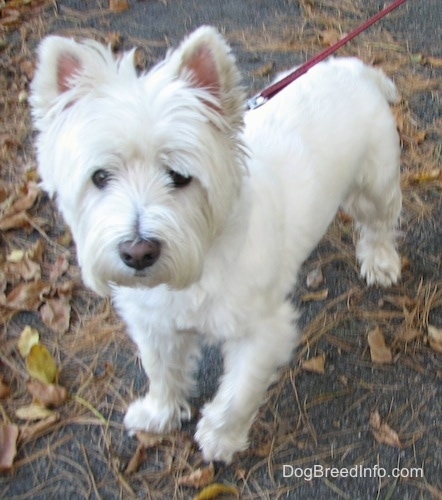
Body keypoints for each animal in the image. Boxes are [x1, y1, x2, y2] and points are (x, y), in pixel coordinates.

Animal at [30, 25, 400, 462]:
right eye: (100, 176)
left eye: (179, 176)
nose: (138, 253)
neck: (200, 261)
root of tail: (351, 67)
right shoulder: (155, 325)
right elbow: (160, 370)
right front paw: (159, 413)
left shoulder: (262, 331)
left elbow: (237, 394)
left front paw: (219, 438)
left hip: (373, 184)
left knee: (379, 222)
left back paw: (381, 261)